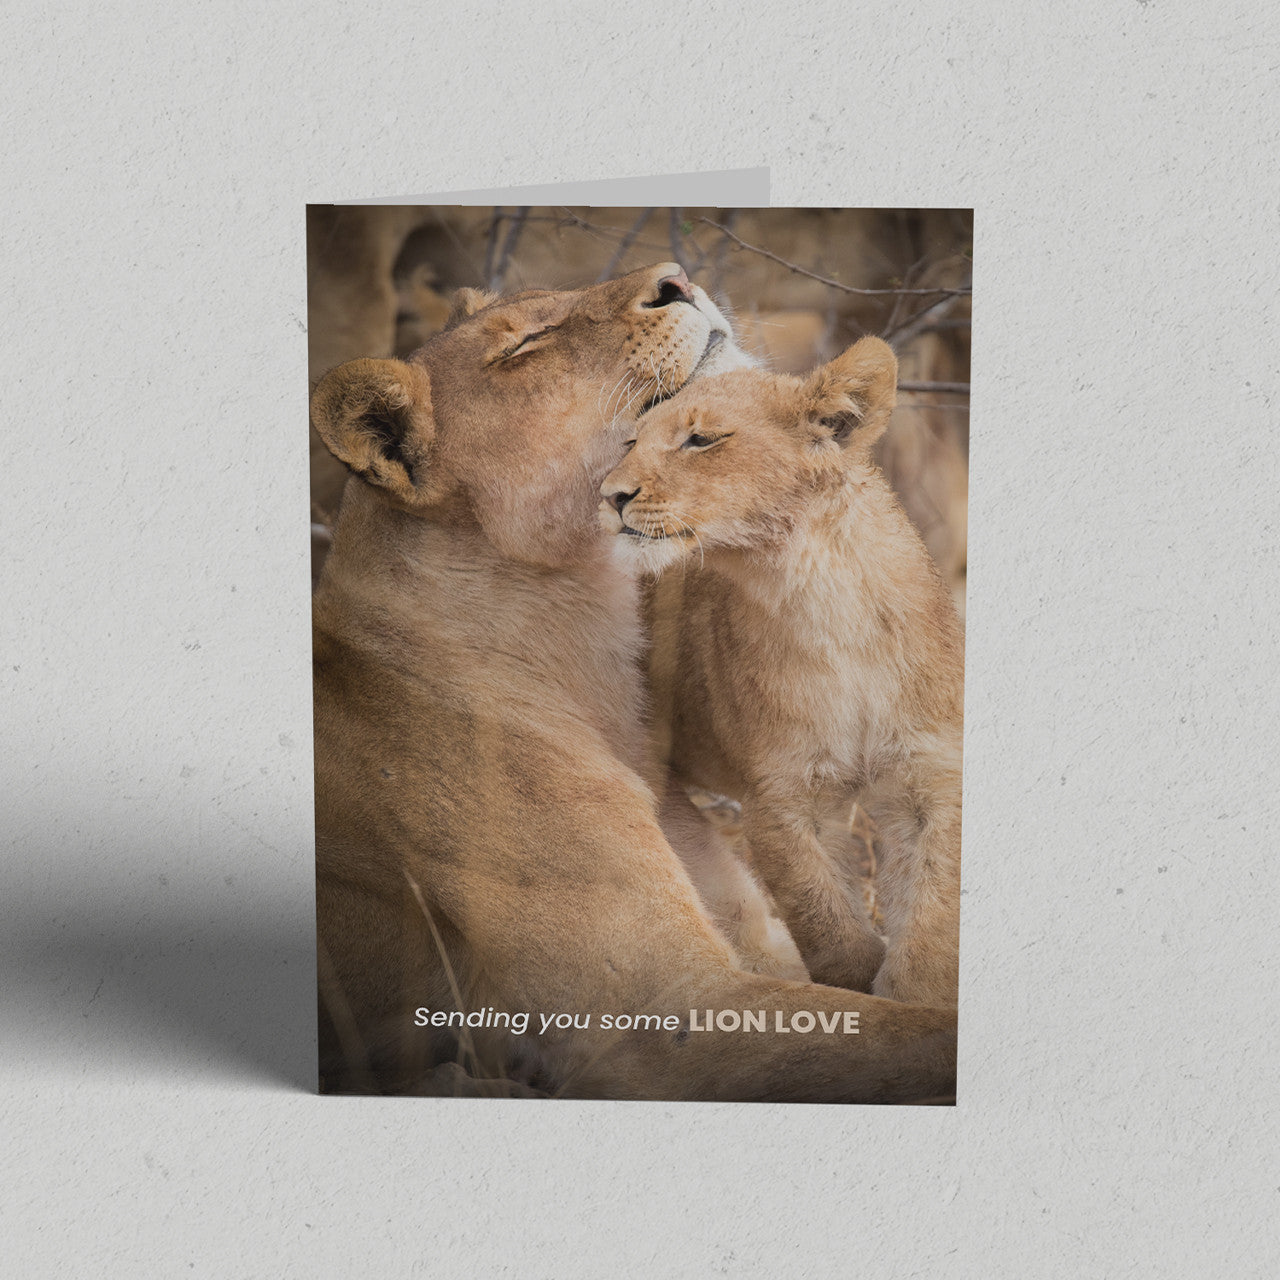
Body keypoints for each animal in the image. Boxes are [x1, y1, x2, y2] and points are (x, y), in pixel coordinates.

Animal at [600, 336, 963, 1007]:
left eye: (700, 440)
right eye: (633, 442)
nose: (609, 495)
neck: (818, 595)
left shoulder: (929, 778)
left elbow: (931, 926)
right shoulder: (782, 797)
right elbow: (830, 931)